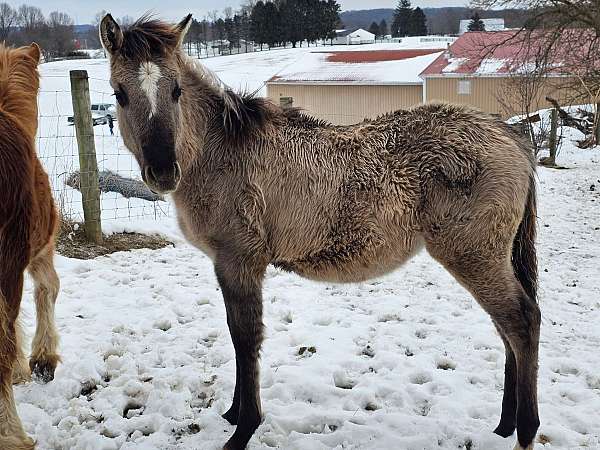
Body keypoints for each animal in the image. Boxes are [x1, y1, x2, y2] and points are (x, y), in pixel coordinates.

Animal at [101, 14, 540, 450]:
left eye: (176, 90)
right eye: (119, 94)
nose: (163, 171)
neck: (221, 152)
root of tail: (510, 138)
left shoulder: (239, 261)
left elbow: (245, 337)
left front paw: (244, 428)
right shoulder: (226, 265)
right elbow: (234, 332)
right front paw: (232, 414)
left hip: (474, 255)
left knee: (521, 321)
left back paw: (525, 430)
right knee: (506, 327)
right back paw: (504, 424)